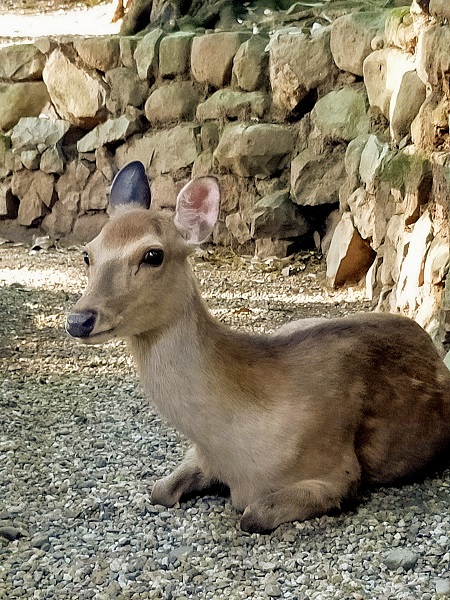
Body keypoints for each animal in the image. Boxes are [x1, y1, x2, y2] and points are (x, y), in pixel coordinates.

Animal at [66, 161, 450, 536]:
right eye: (87, 253)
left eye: (153, 254)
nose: (79, 320)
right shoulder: (198, 455)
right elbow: (159, 490)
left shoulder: (338, 471)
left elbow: (253, 516)